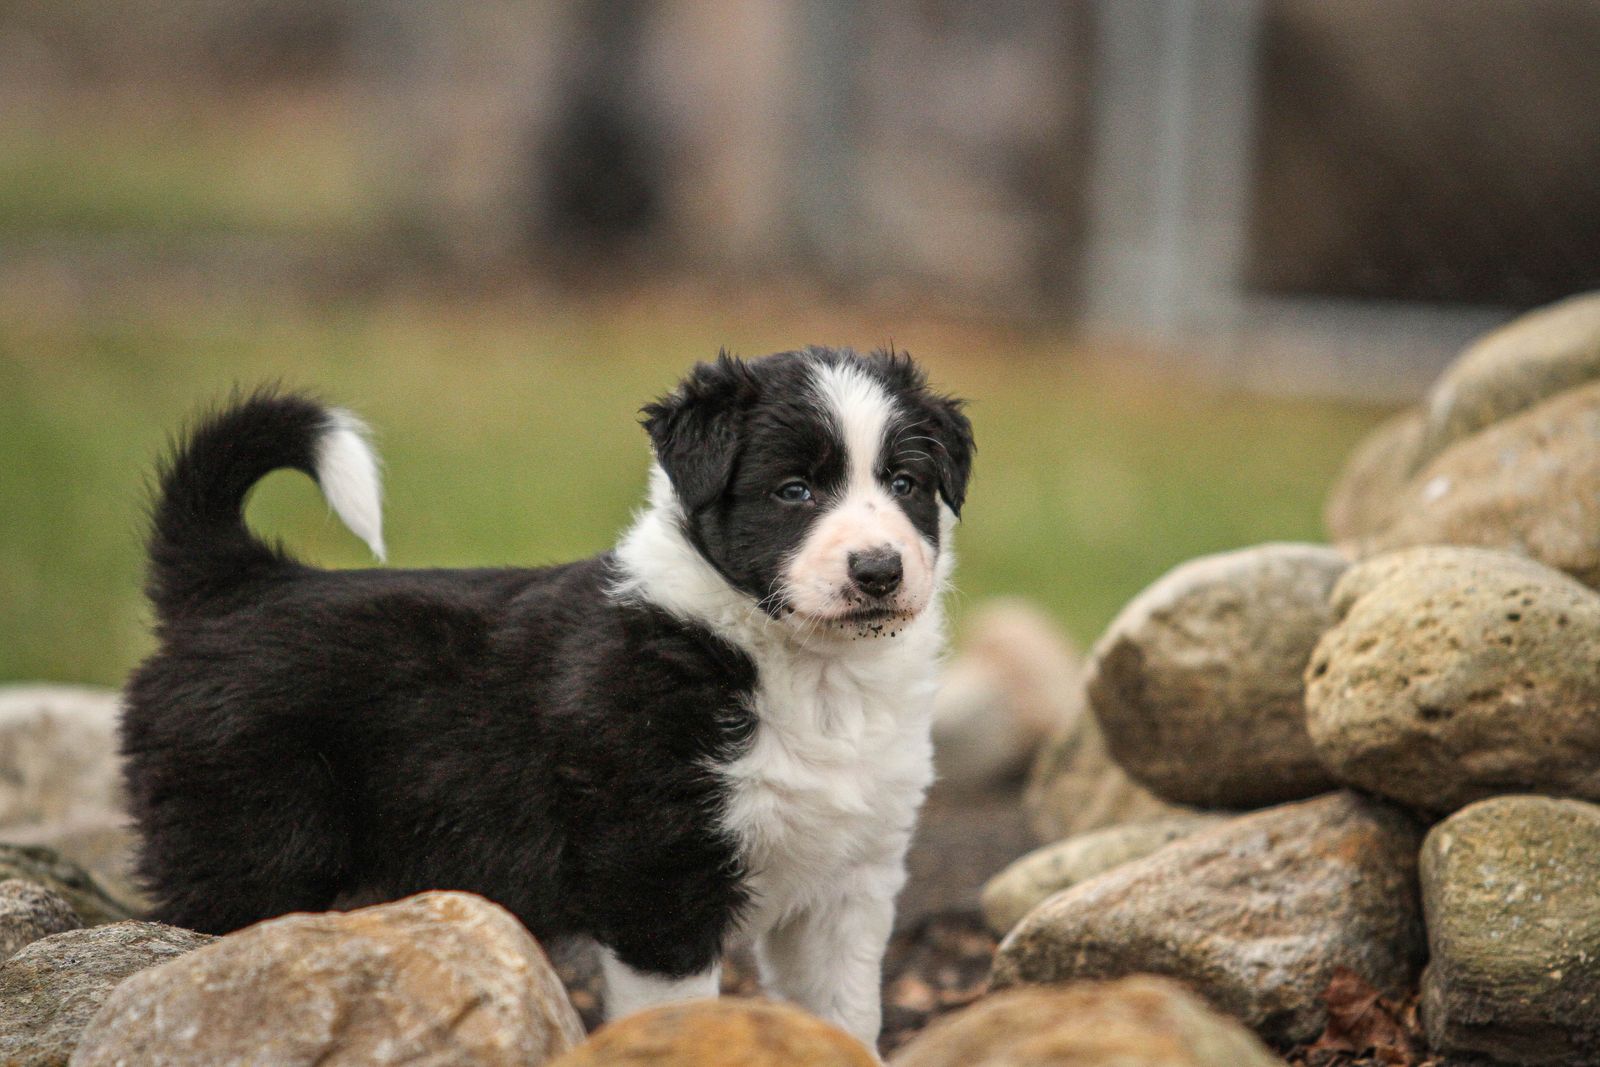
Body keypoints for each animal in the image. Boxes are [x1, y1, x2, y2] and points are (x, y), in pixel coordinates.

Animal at [122, 346, 973, 1046]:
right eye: (794, 490)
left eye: (905, 484)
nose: (879, 569)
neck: (811, 671)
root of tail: (239, 581)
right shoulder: (657, 876)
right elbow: (677, 1010)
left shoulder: (847, 885)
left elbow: (845, 1014)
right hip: (248, 842)